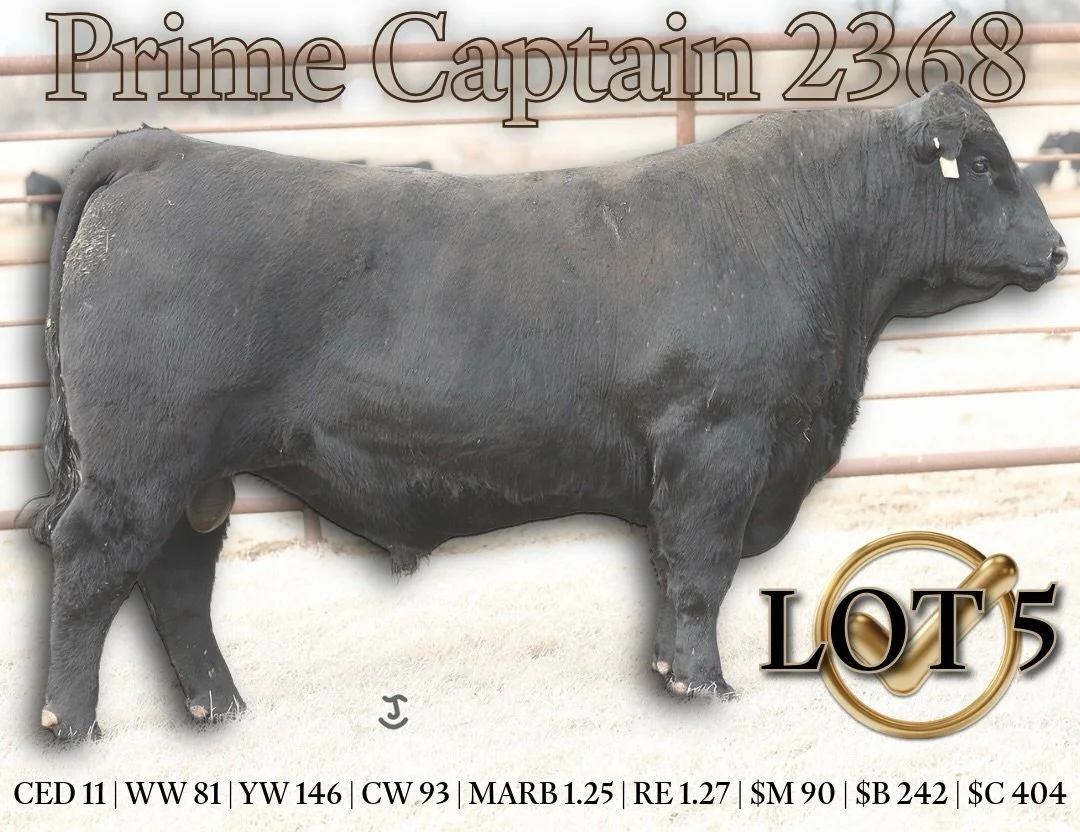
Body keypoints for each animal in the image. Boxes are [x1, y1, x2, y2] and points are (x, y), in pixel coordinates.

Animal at [24, 82, 1066, 741]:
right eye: (982, 164)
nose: (1057, 251)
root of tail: (163, 148)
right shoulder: (718, 447)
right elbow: (700, 574)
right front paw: (705, 689)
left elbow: (673, 577)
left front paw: (667, 678)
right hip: (139, 465)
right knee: (93, 569)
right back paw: (71, 726)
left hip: (193, 474)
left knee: (176, 580)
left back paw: (222, 711)